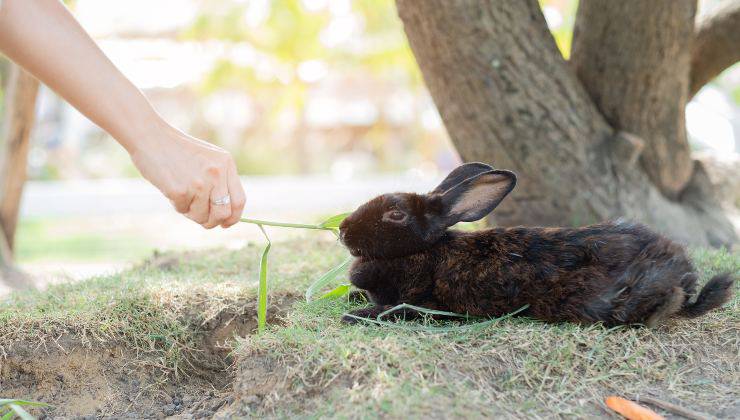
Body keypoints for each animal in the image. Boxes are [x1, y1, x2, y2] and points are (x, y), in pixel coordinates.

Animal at [338, 162, 735, 327]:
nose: (342, 230)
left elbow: (398, 310)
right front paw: (353, 299)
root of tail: (683, 274)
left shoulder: (430, 304)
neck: (424, 251)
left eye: (396, 214)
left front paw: (356, 316)